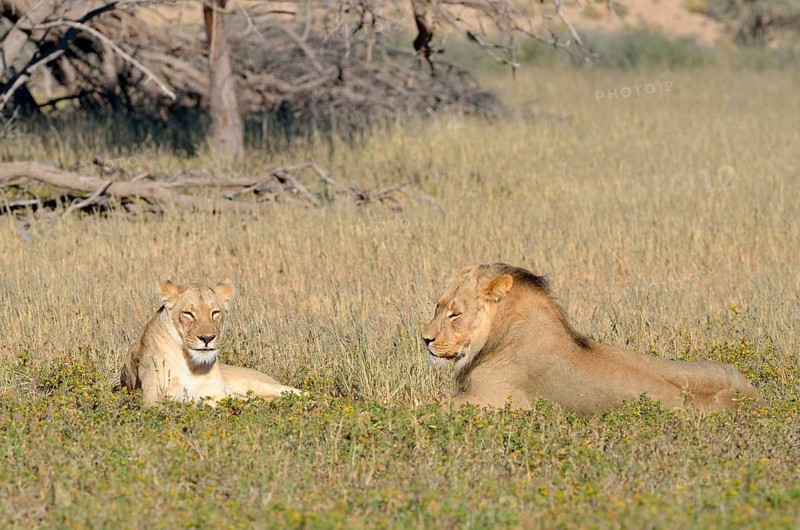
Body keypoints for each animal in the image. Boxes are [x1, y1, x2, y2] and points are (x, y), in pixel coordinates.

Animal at [120, 279, 300, 407]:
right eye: (188, 313)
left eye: (215, 312)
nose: (207, 338)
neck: (191, 365)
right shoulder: (152, 397)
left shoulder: (216, 392)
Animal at [423, 263, 763, 414]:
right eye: (438, 306)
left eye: (455, 314)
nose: (425, 339)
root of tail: (754, 401)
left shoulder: (491, 400)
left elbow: (427, 407)